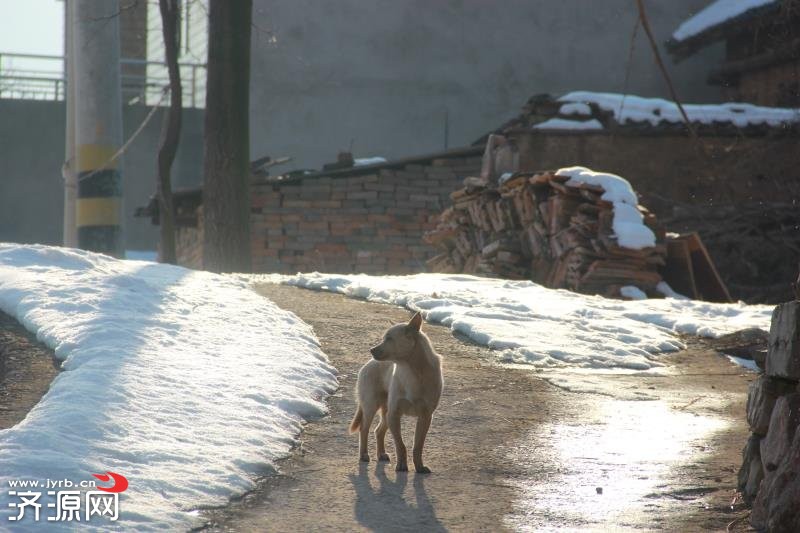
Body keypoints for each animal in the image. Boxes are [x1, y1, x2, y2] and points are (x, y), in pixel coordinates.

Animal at [348, 312, 444, 474]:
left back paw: (381, 454)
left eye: (389, 339)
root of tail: (366, 365)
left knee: (378, 431)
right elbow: (401, 445)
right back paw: (364, 455)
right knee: (364, 429)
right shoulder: (394, 414)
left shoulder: (425, 417)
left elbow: (417, 446)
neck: (413, 371)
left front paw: (419, 467)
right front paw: (401, 466)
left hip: (385, 413)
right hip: (371, 407)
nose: (371, 350)